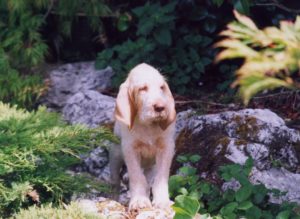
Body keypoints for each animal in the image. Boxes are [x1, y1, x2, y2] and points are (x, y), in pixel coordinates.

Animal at [109, 62, 176, 210]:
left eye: (162, 87)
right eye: (142, 89)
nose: (161, 107)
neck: (148, 125)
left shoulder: (166, 148)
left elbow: (160, 178)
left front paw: (162, 201)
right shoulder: (130, 149)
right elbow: (137, 177)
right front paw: (139, 200)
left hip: (151, 166)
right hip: (115, 155)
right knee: (115, 181)